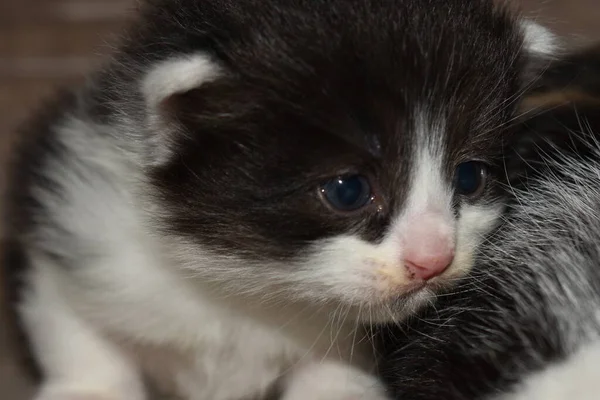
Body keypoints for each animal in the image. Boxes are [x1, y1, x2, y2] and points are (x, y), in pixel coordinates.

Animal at [2, 0, 556, 400]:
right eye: (348, 190)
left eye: (469, 178)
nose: (433, 260)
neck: (247, 290)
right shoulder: (79, 223)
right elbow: (76, 331)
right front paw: (87, 387)